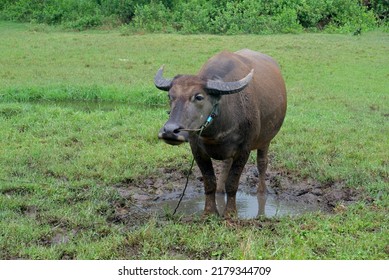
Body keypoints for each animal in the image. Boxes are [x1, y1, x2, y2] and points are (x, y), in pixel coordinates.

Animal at [154, 49, 284, 218]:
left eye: (199, 96)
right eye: (170, 96)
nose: (170, 131)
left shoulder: (244, 150)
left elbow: (233, 182)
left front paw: (230, 212)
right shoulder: (197, 149)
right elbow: (210, 182)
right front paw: (209, 212)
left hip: (265, 140)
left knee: (262, 163)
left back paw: (262, 192)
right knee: (225, 165)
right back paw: (221, 192)